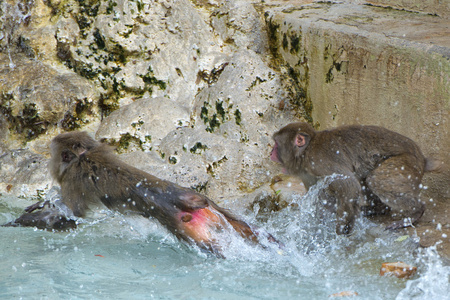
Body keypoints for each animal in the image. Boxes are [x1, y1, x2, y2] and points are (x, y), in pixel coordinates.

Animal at [8, 131, 280, 255]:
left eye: (55, 156)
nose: (50, 164)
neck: (83, 157)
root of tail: (183, 197)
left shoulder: (73, 180)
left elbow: (70, 215)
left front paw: (29, 217)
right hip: (213, 207)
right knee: (244, 227)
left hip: (180, 222)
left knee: (208, 245)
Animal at [268, 122, 438, 234]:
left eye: (276, 144)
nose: (270, 153)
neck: (305, 152)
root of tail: (422, 158)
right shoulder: (308, 174)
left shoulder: (318, 161)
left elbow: (348, 185)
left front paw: (342, 230)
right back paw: (377, 209)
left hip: (405, 163)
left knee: (376, 180)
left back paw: (415, 213)